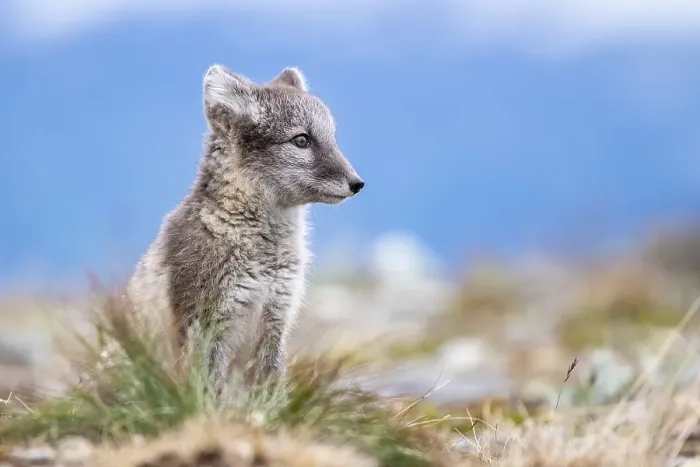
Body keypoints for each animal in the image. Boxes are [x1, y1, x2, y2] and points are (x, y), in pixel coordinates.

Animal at [125, 64, 364, 393]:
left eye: (332, 138)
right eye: (302, 140)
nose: (358, 183)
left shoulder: (275, 319)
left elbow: (269, 388)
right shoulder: (206, 326)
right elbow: (210, 391)